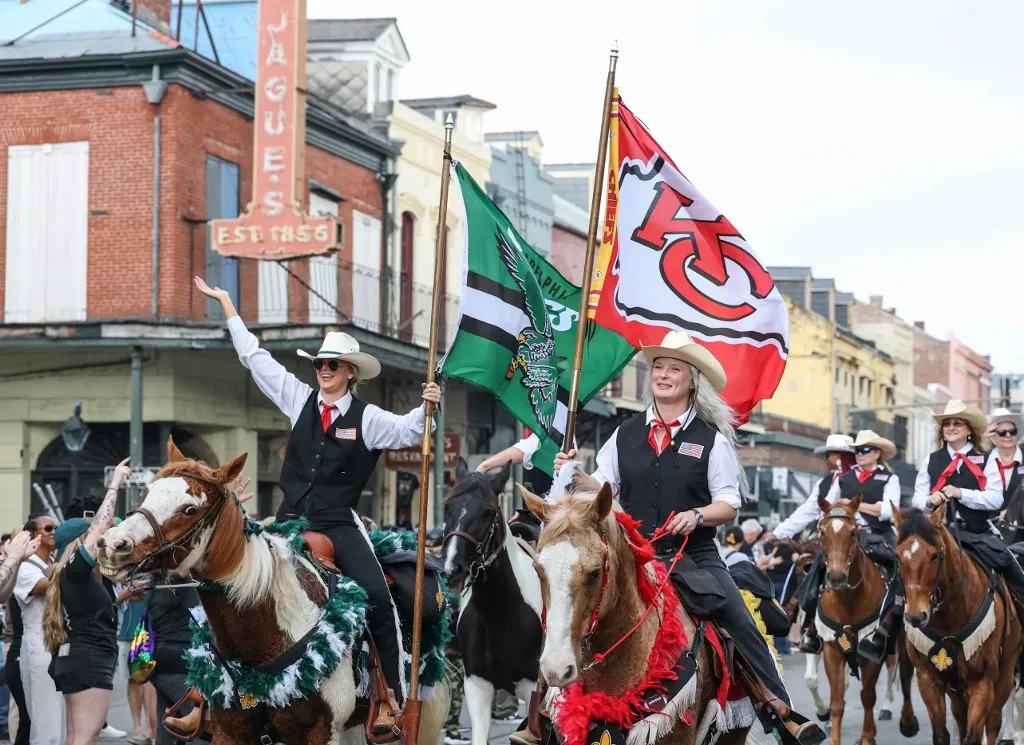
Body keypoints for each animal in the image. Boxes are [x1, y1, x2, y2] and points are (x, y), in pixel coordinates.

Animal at [444, 460, 548, 745]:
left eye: (488, 512)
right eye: (447, 508)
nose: (452, 569)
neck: (499, 615)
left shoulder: (533, 688)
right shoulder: (477, 685)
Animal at [815, 495, 921, 745]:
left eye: (853, 532)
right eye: (822, 532)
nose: (836, 577)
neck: (848, 601)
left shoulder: (871, 653)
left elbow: (867, 697)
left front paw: (866, 737)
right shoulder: (832, 650)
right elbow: (837, 703)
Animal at [892, 503, 1019, 745]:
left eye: (935, 555)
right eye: (898, 556)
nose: (916, 616)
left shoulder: (982, 682)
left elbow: (974, 735)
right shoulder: (928, 679)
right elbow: (942, 734)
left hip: (1005, 673)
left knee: (993, 721)